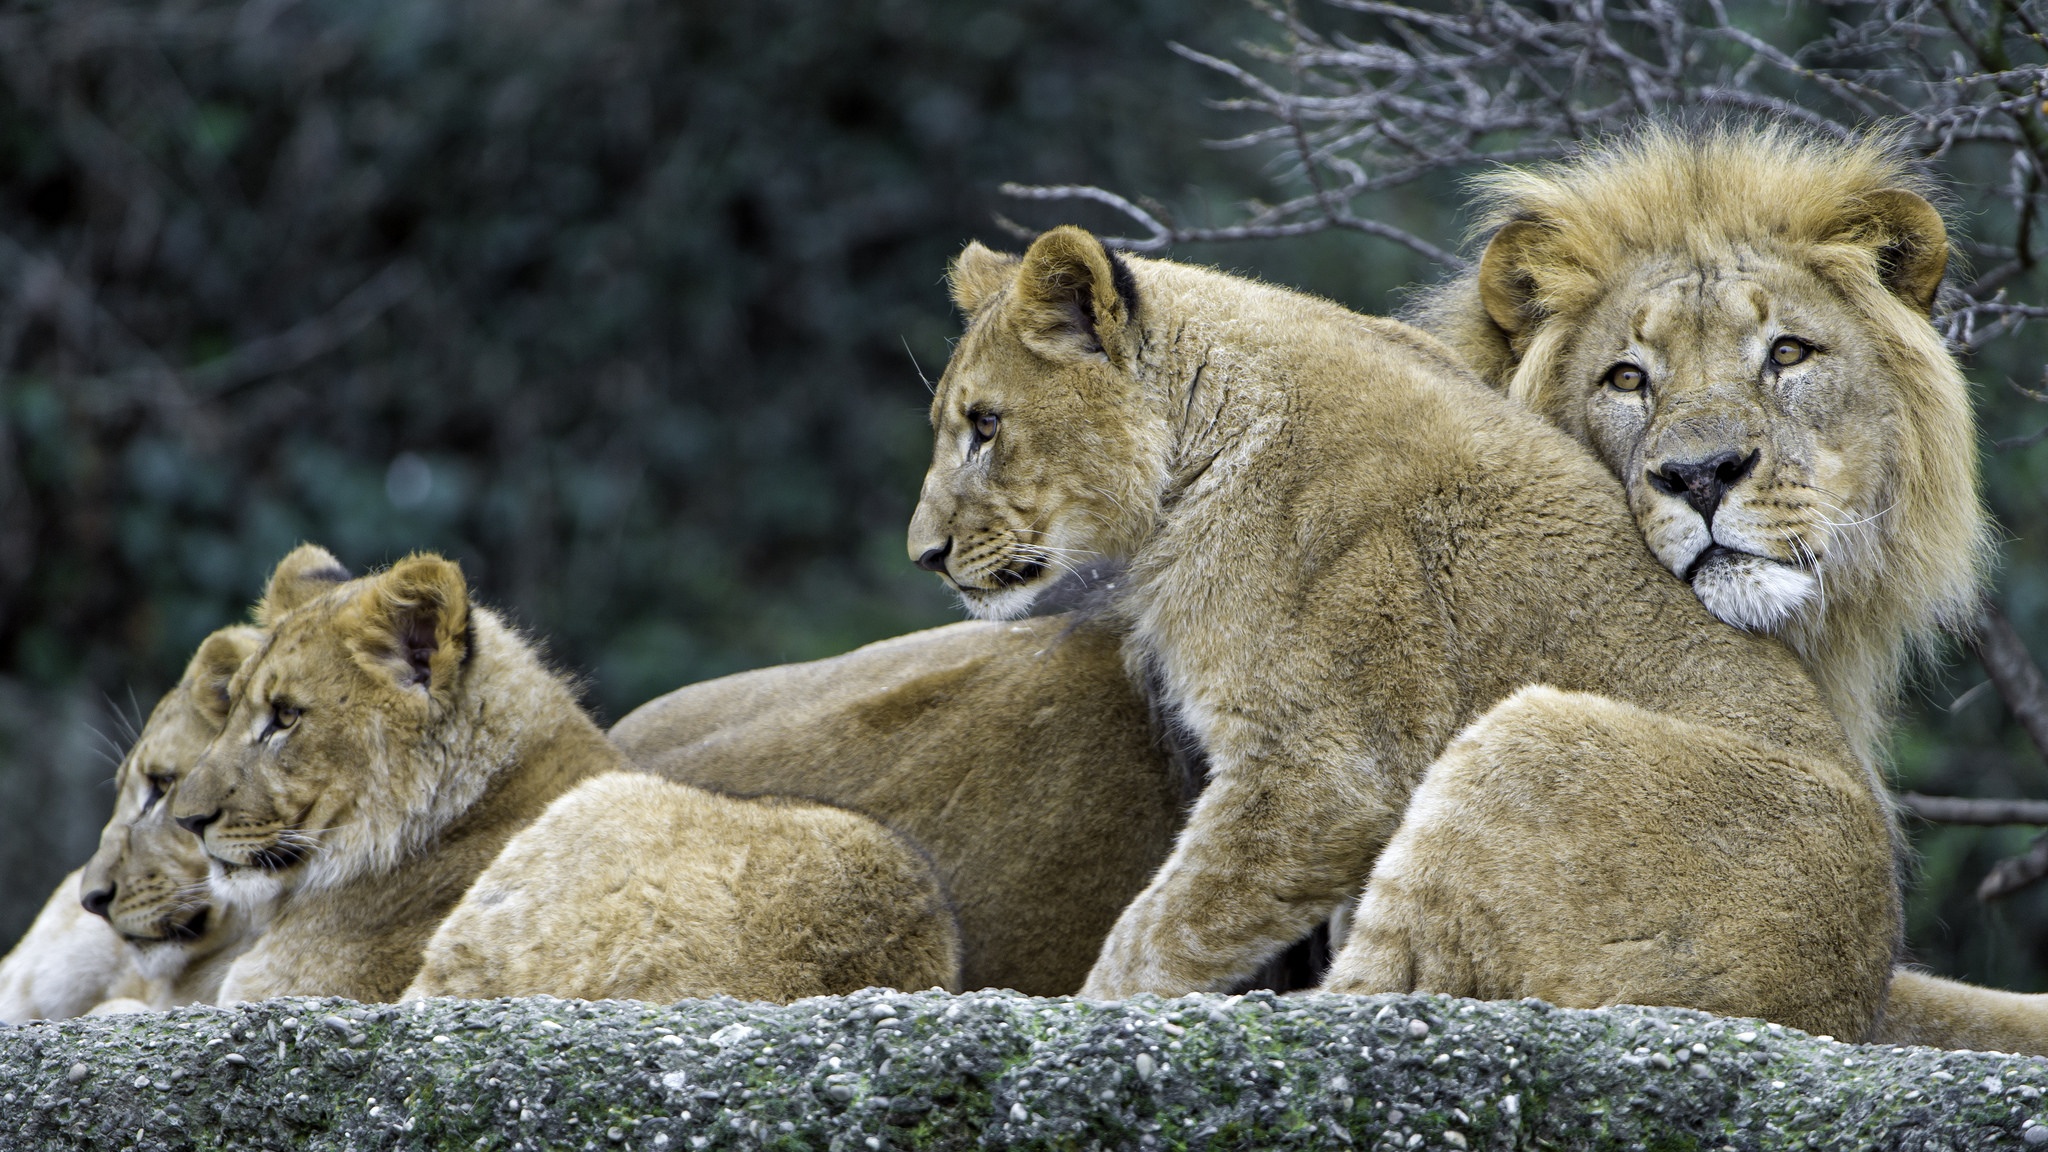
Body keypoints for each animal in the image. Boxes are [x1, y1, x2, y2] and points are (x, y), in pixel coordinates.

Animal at [921, 224, 1892, 1033]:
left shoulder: (1323, 767)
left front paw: (1086, 1010)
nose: (923, 553)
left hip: (1528, 737)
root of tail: (1846, 1006)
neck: (1199, 450)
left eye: (985, 426)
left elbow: (1161, 928)